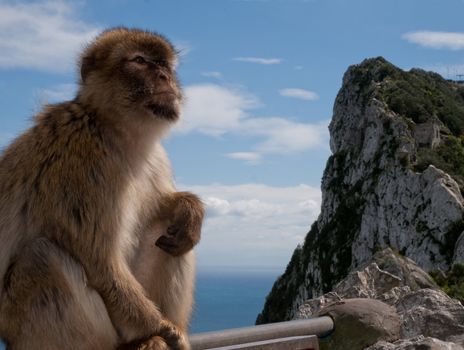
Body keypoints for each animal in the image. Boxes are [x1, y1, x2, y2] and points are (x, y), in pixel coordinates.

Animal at [0, 28, 205, 350]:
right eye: (140, 61)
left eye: (165, 65)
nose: (165, 77)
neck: (116, 131)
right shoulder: (83, 159)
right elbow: (100, 261)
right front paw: (160, 327)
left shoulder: (156, 158)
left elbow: (160, 206)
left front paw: (188, 208)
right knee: (39, 259)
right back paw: (143, 340)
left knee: (167, 230)